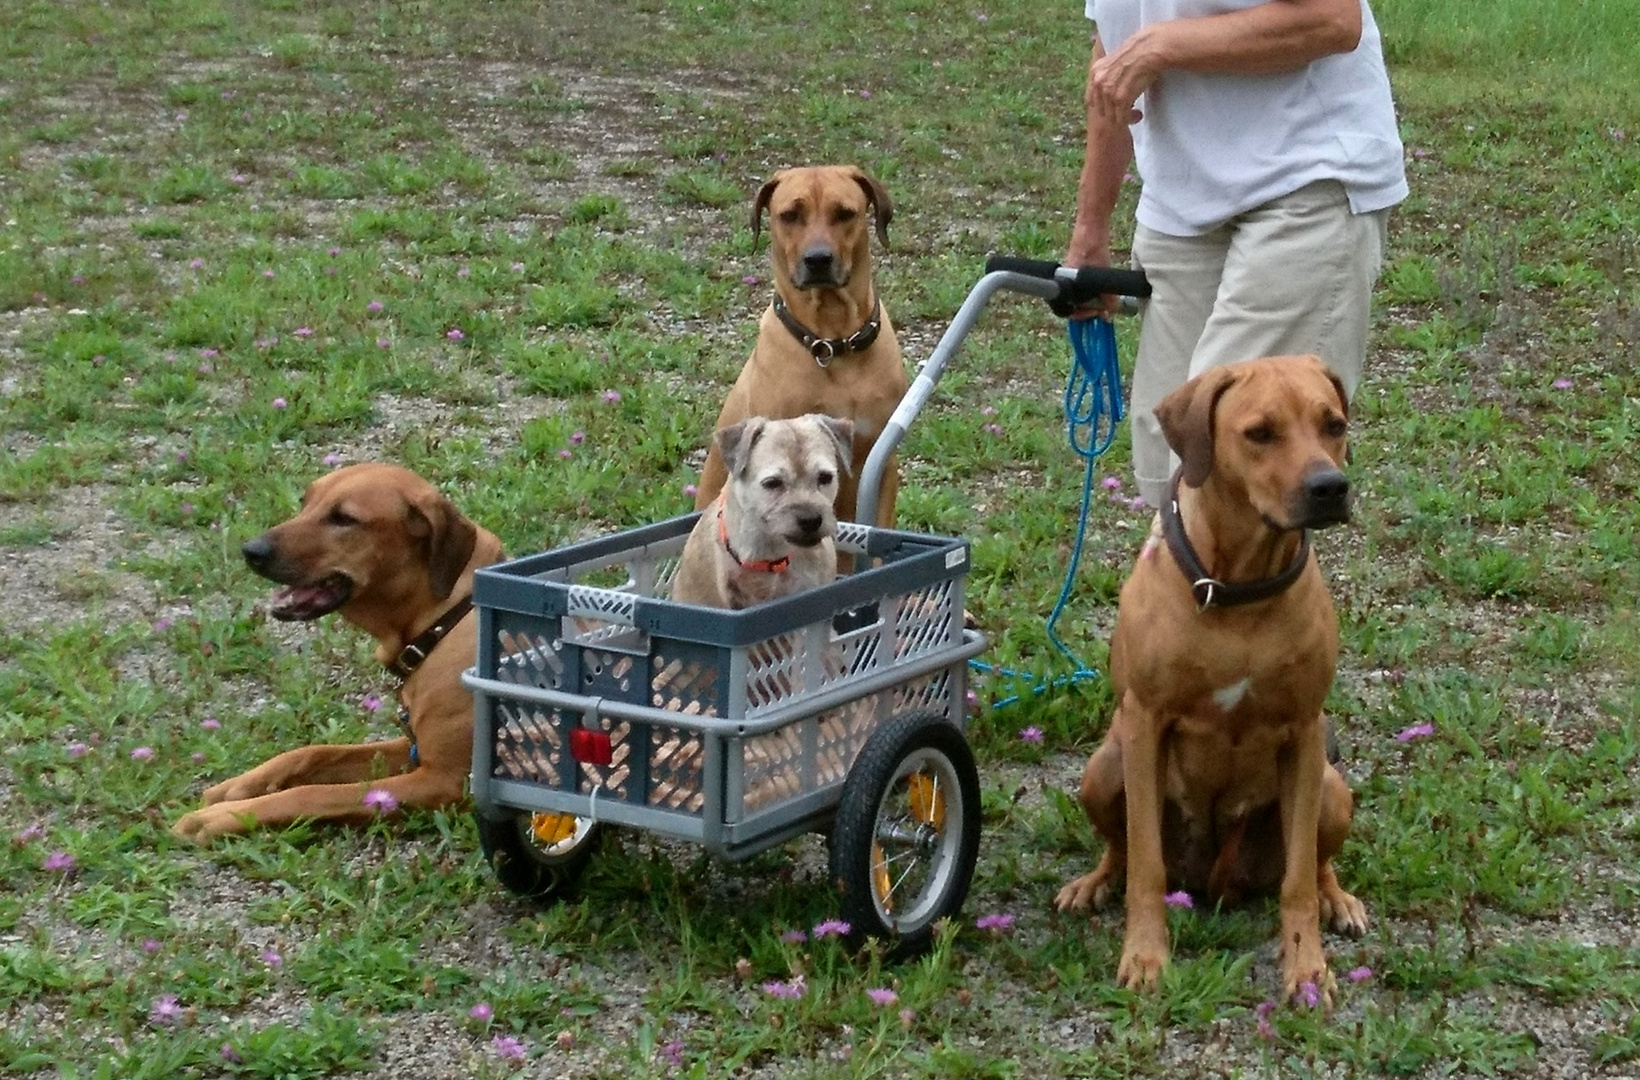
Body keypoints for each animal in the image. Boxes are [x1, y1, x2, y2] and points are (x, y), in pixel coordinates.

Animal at [170, 465, 498, 845]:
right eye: (305, 502)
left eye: (344, 519)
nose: (251, 550)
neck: (441, 624)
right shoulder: (414, 749)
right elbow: (314, 751)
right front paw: (241, 785)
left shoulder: (444, 781)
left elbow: (312, 793)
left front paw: (226, 817)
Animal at [1049, 358, 1371, 1009]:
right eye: (1260, 433)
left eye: (1334, 424)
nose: (1331, 487)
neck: (1240, 589)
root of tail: (1214, 880)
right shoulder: (1146, 722)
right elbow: (1145, 864)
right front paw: (1146, 957)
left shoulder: (1304, 730)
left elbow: (1297, 880)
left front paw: (1307, 968)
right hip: (1103, 770)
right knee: (1122, 849)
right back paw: (1094, 882)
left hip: (1330, 788)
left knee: (1315, 860)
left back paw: (1337, 898)